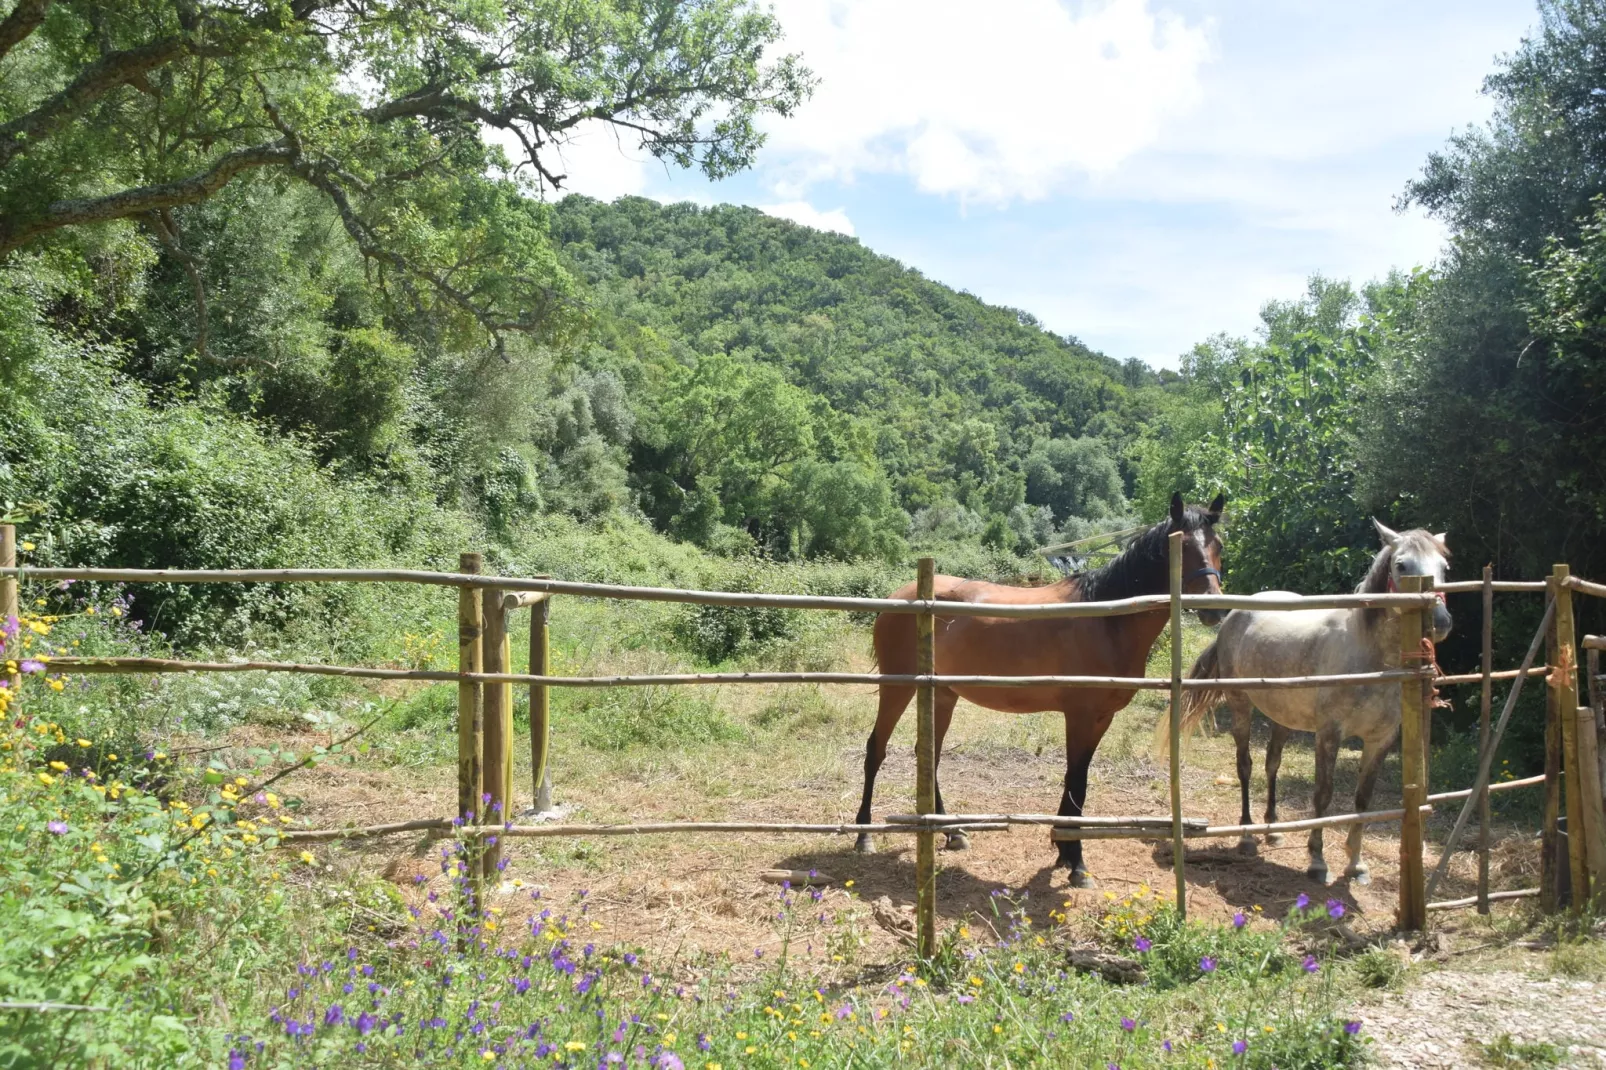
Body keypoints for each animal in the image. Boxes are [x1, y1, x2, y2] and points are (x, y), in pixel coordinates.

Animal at [860, 491, 1220, 880]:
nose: (1213, 608)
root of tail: (899, 596)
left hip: (942, 693)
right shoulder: (1080, 716)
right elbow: (1077, 780)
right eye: (1181, 545)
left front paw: (1064, 851)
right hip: (898, 688)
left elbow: (1076, 779)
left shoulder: (1101, 718)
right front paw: (1075, 861)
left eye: (1217, 545)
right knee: (876, 749)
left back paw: (952, 832)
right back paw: (864, 835)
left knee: (929, 755)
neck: (1106, 619)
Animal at [1175, 517, 1451, 880]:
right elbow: (1323, 795)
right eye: (1402, 565)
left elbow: (1363, 799)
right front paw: (1318, 860)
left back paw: (1273, 830)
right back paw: (1247, 836)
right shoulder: (1329, 735)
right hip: (1240, 705)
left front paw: (1356, 863)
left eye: (1445, 567)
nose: (1441, 622)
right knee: (1245, 766)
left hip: (1282, 716)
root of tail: (1234, 616)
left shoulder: (1380, 740)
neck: (1370, 659)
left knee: (1272, 763)